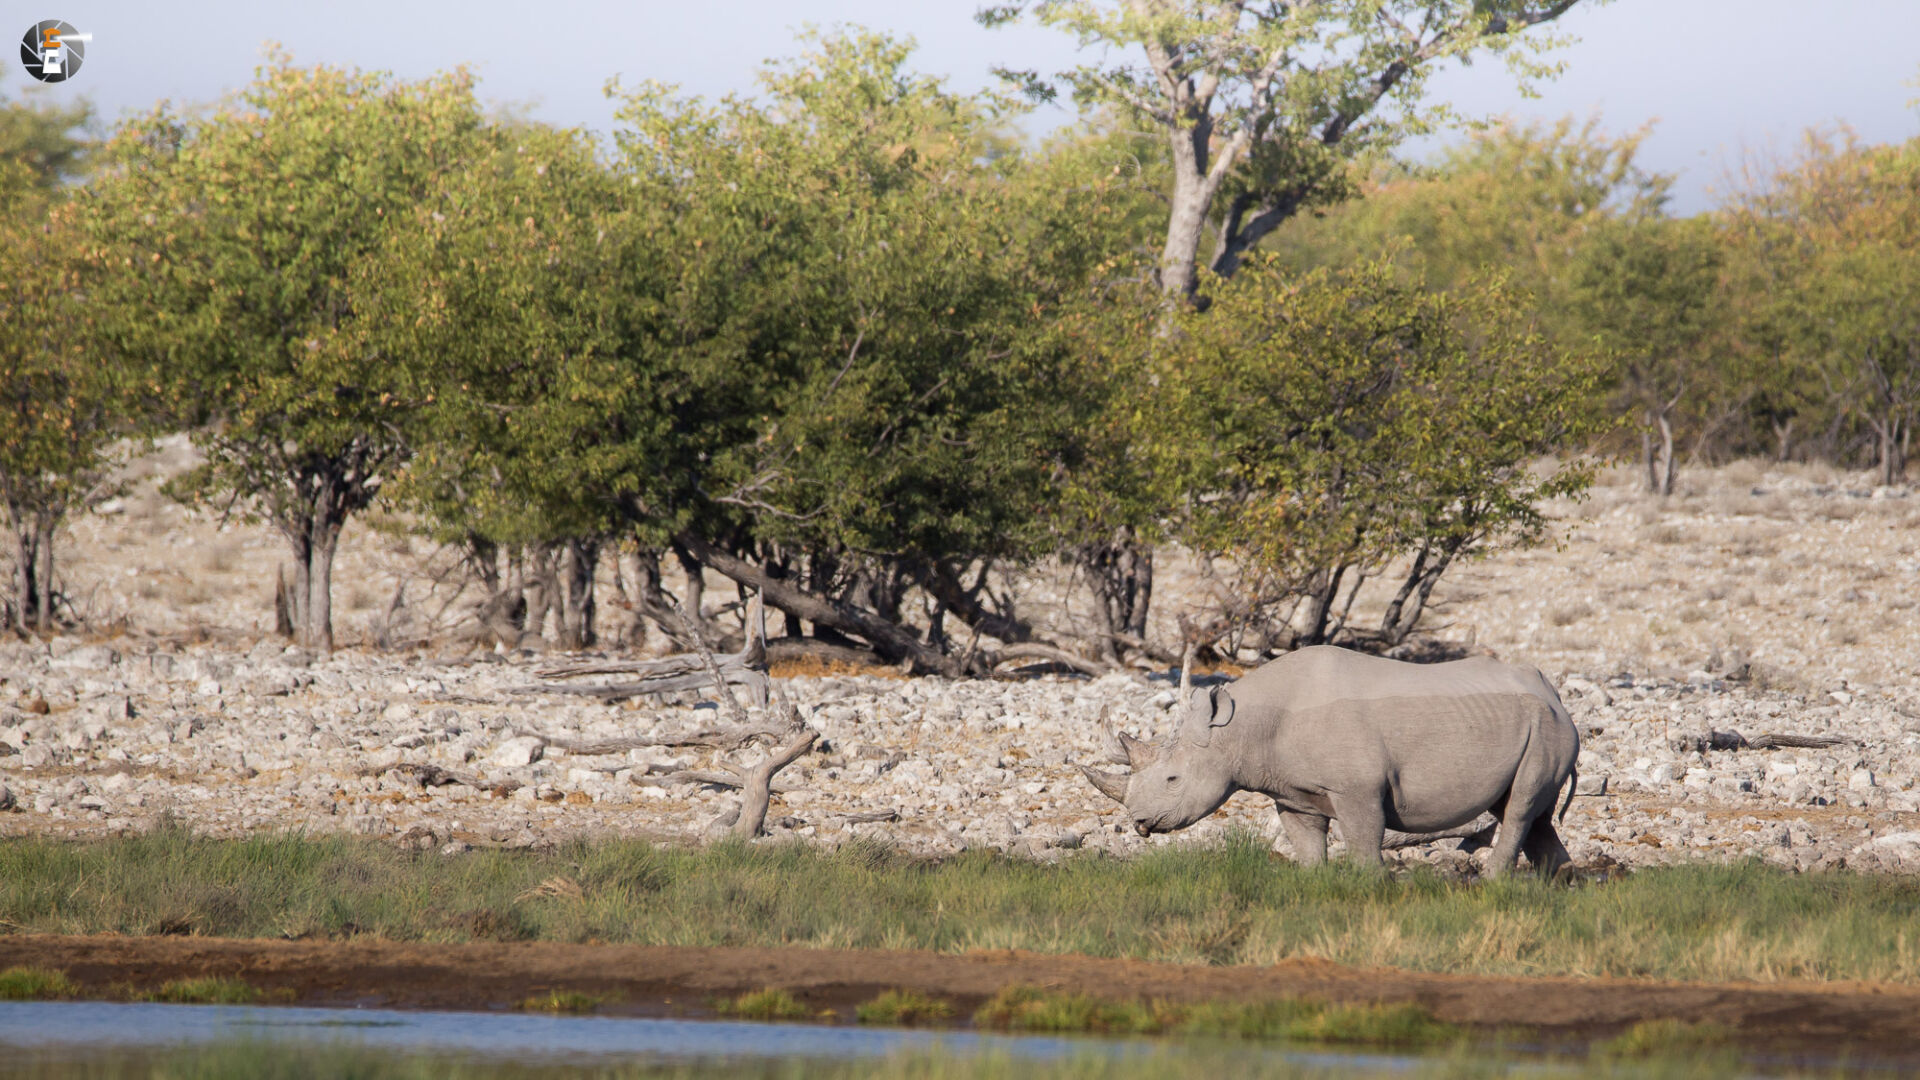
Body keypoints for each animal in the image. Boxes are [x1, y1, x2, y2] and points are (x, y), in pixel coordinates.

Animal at [1081, 646, 1579, 877]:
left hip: (1547, 728)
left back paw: (1492, 883)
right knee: (1530, 810)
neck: (1240, 730)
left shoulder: (1358, 789)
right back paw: (1558, 883)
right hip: (1535, 725)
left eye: (1172, 778)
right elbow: (1306, 843)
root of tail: (1555, 694)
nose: (1139, 822)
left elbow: (1362, 840)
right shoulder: (1292, 792)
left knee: (1519, 808)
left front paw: (1373, 886)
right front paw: (1317, 883)